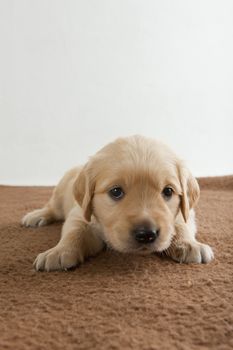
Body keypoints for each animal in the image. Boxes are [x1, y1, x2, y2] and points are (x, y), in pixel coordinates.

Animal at [21, 136, 213, 270]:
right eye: (116, 192)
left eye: (168, 191)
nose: (146, 234)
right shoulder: (81, 215)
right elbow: (74, 232)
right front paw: (59, 252)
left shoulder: (185, 213)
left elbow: (182, 225)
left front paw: (190, 244)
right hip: (60, 193)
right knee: (52, 207)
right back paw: (37, 216)